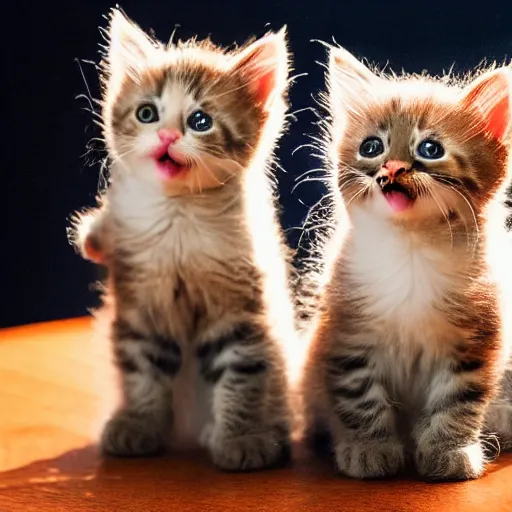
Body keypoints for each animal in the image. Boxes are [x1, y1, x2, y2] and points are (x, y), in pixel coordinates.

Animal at [72, 9, 296, 472]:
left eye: (200, 122)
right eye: (146, 113)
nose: (167, 137)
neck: (178, 218)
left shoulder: (241, 304)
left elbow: (243, 370)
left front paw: (242, 438)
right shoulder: (141, 300)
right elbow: (141, 369)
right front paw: (137, 425)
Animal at [304, 46, 512, 482]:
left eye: (430, 149)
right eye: (371, 147)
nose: (393, 168)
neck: (412, 247)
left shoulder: (477, 338)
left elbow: (458, 400)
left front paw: (449, 451)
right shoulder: (347, 335)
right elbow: (360, 396)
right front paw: (370, 449)